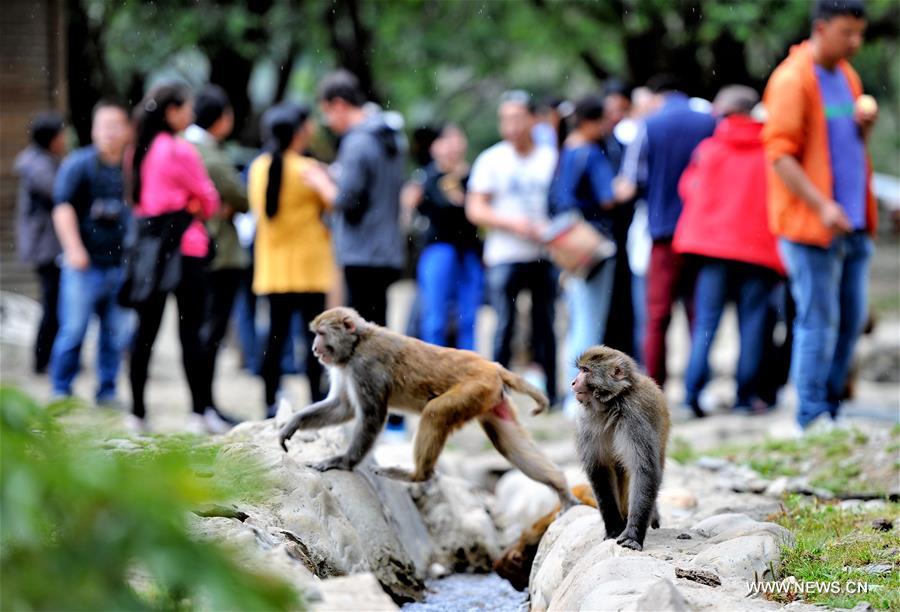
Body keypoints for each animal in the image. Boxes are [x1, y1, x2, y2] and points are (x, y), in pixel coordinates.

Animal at [278, 308, 580, 510]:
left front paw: (344, 461)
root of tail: (492, 366)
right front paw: (293, 422)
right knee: (508, 443)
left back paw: (417, 475)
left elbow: (371, 416)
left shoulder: (365, 368)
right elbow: (344, 408)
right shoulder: (345, 368)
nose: (314, 349)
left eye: (321, 334)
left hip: (474, 389)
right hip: (490, 398)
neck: (356, 344)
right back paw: (561, 487)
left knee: (435, 413)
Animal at [568, 346, 668, 552]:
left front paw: (632, 535)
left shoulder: (635, 419)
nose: (573, 381)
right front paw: (614, 527)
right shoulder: (585, 423)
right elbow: (599, 470)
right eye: (580, 369)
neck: (611, 404)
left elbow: (644, 470)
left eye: (585, 371)